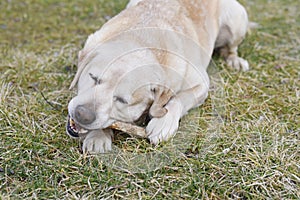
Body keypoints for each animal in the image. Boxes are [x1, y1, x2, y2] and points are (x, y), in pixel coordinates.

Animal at [67, 0, 250, 153]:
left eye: (121, 100)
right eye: (93, 78)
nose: (82, 114)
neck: (143, 41)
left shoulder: (202, 83)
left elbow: (178, 99)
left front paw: (164, 123)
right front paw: (98, 135)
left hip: (237, 19)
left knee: (231, 48)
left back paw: (234, 60)